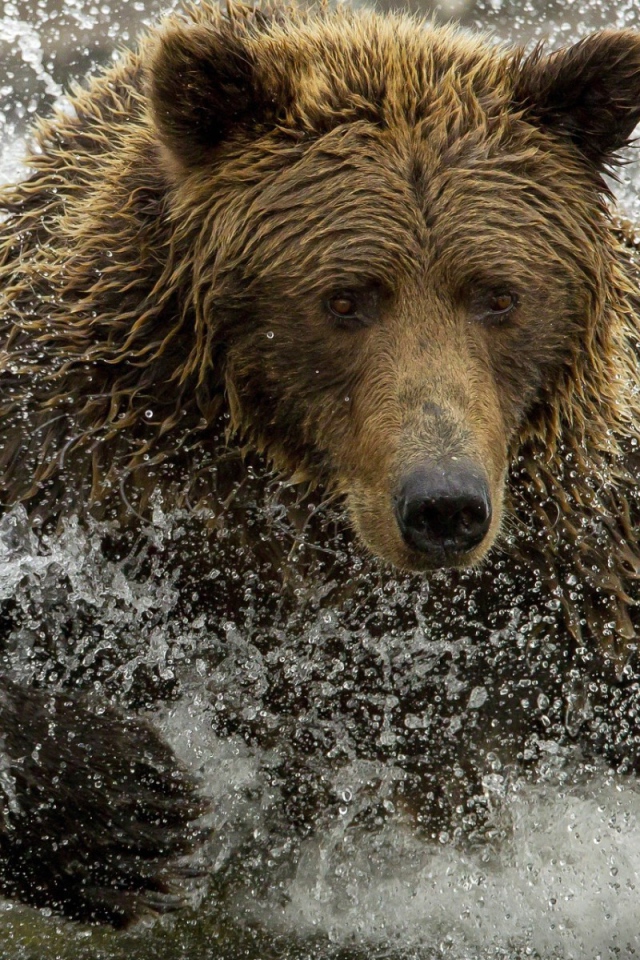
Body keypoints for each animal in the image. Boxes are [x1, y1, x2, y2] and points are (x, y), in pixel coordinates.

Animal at [2, 0, 640, 931]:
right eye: (346, 298)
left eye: (499, 295)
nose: (442, 505)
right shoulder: (76, 478)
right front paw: (128, 810)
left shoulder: (580, 582)